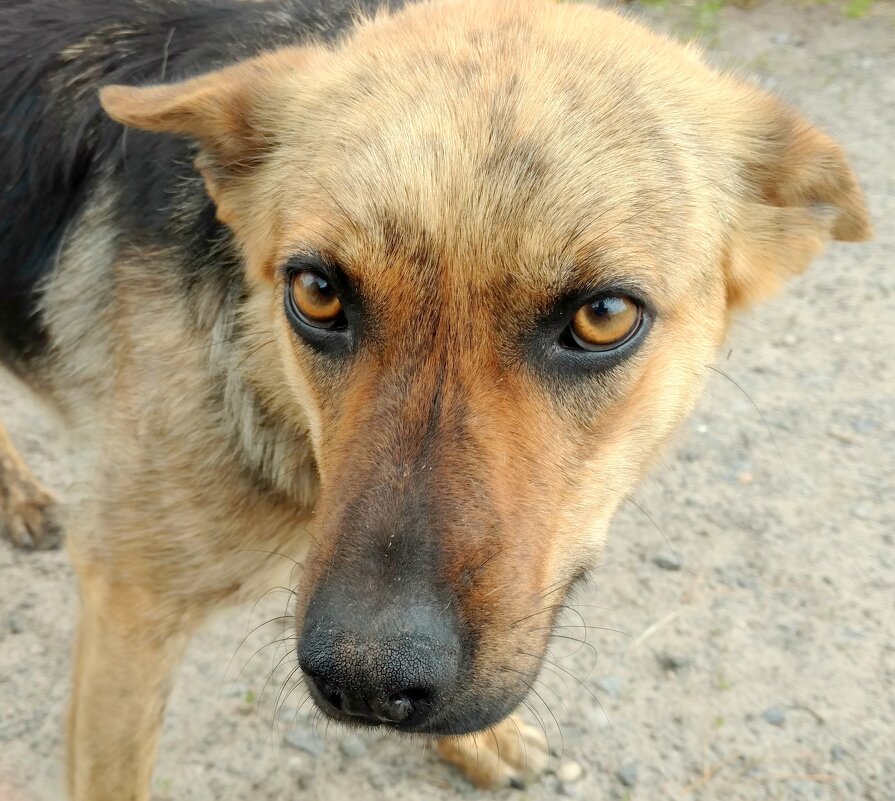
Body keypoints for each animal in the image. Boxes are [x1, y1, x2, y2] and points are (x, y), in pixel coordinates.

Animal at [0, 0, 868, 796]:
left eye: (604, 315)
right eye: (316, 293)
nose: (366, 680)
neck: (271, 387)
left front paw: (471, 741)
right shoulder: (127, 604)